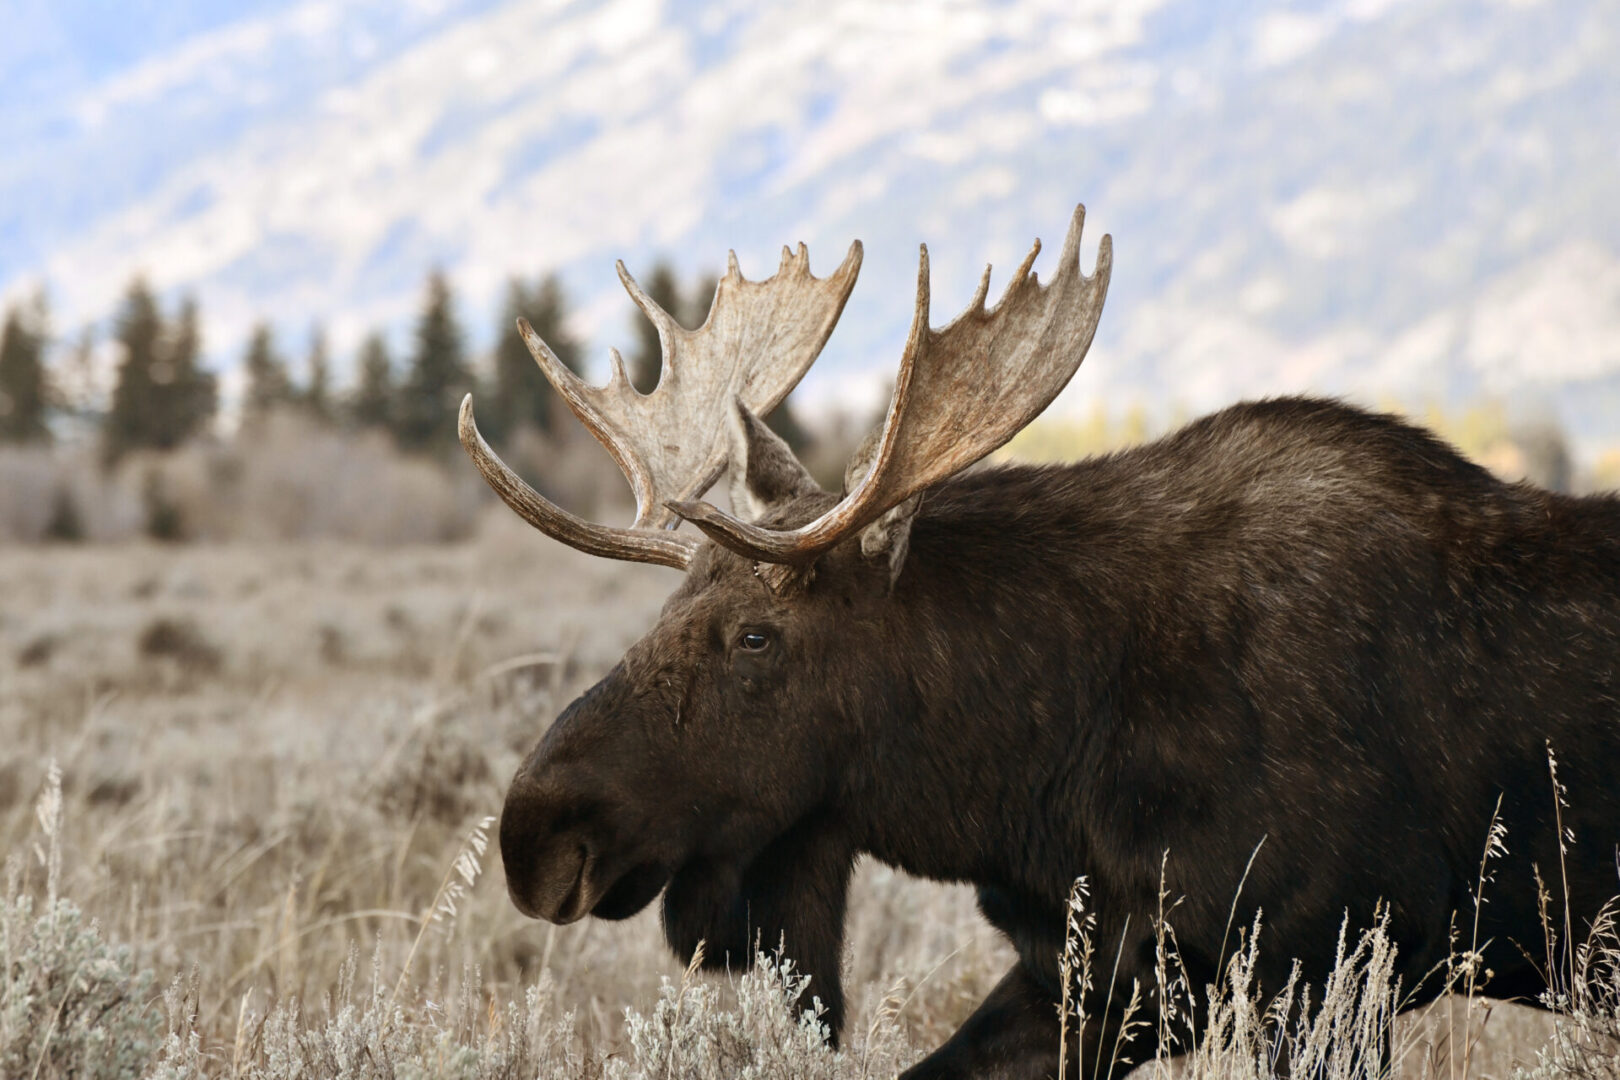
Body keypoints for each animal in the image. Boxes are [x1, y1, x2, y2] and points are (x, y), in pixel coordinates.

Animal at [456, 207, 1620, 1075]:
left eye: (755, 636)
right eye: (667, 612)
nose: (537, 831)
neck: (1036, 776)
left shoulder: (1329, 966)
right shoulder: (1098, 975)